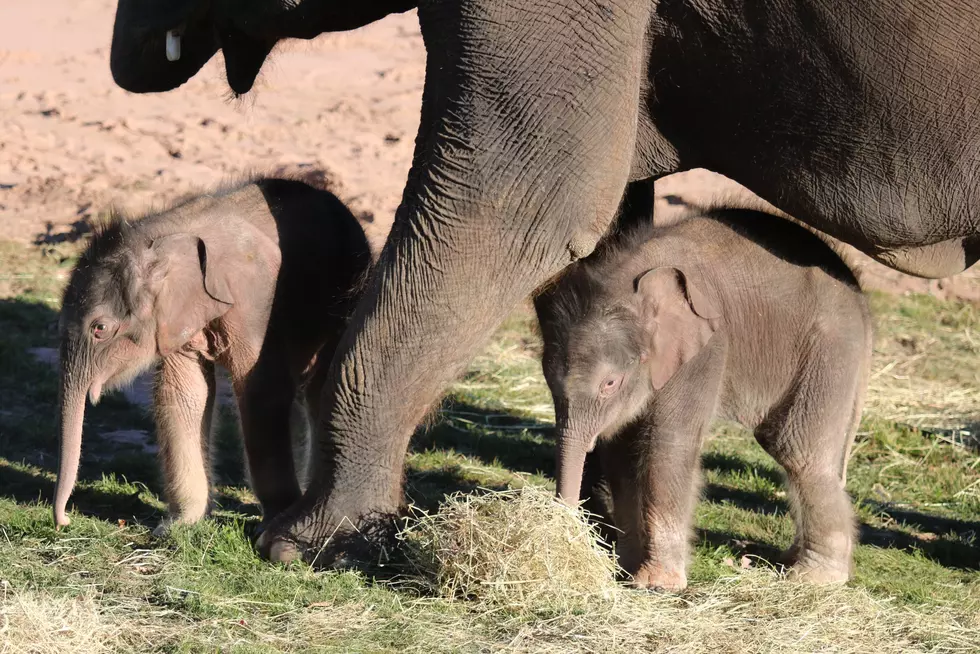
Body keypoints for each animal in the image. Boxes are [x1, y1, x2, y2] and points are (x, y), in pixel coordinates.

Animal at [54, 178, 371, 533]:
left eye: (100, 328)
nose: (65, 520)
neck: (167, 233)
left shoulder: (256, 303)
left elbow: (263, 392)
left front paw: (273, 522)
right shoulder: (176, 320)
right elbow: (185, 393)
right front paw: (178, 526)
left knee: (320, 386)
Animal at [534, 209, 872, 590]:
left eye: (610, 383)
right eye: (547, 378)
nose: (563, 532)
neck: (628, 277)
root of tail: (861, 299)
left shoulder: (706, 348)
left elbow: (667, 444)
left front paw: (658, 584)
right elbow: (622, 448)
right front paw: (626, 570)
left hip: (828, 349)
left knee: (798, 451)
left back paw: (816, 577)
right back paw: (794, 561)